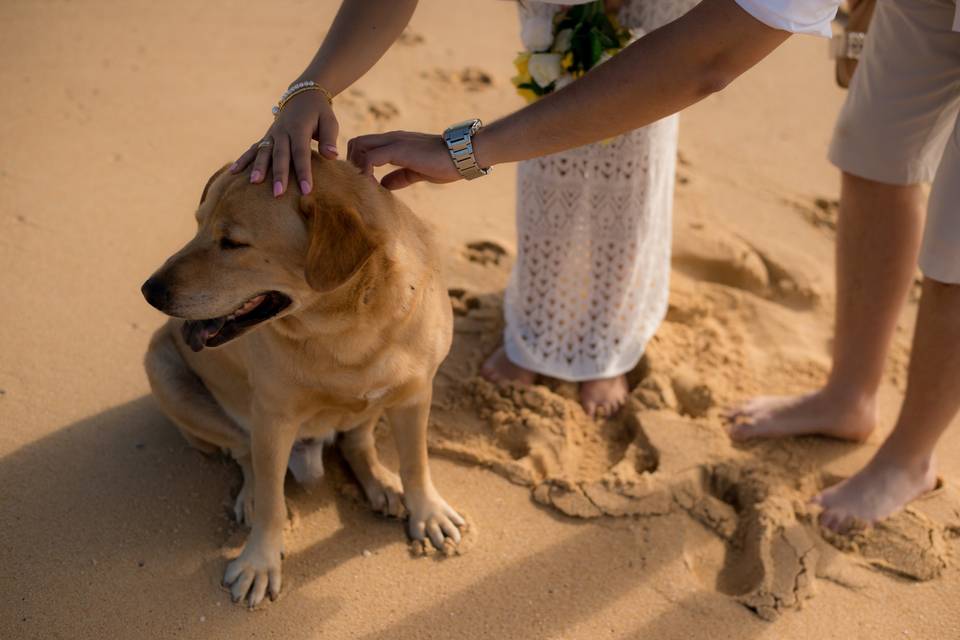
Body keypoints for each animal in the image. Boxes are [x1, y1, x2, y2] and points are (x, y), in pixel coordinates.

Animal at [142, 158, 464, 608]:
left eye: (233, 243)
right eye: (198, 224)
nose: (149, 291)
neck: (347, 329)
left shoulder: (416, 394)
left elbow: (416, 461)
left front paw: (427, 512)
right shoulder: (273, 418)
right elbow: (271, 501)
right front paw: (259, 562)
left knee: (357, 438)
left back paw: (381, 483)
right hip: (163, 368)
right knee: (245, 455)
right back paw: (253, 495)